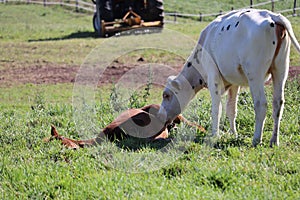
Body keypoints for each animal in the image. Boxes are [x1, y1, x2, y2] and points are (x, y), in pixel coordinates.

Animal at [158, 9, 298, 147]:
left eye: (166, 95)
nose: (159, 115)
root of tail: (272, 15)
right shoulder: (234, 83)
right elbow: (231, 108)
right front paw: (233, 134)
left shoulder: (213, 76)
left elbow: (216, 109)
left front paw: (215, 135)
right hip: (281, 69)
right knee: (278, 103)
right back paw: (274, 140)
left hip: (255, 73)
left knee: (261, 104)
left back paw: (256, 139)